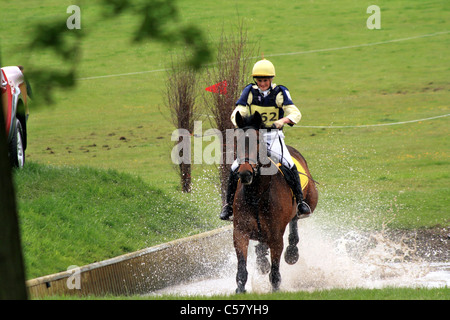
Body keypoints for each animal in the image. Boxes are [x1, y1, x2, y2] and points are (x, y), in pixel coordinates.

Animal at [234, 110, 318, 292]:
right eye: (236, 142)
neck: (256, 194)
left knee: (296, 217)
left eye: (258, 142)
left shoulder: (275, 235)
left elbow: (275, 268)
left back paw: (292, 252)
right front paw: (240, 288)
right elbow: (242, 265)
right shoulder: (240, 232)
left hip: (309, 202)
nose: (245, 174)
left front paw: (275, 288)